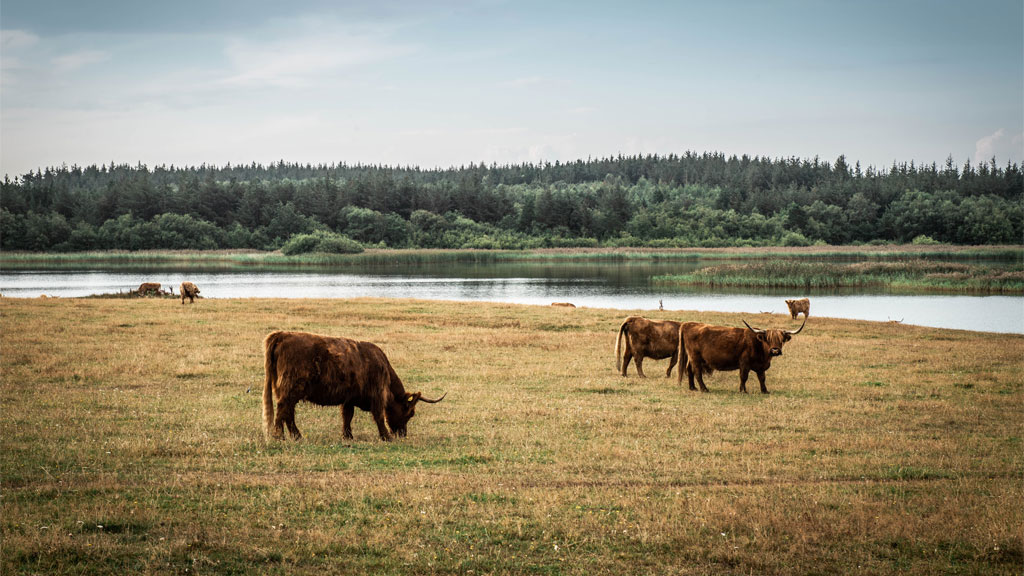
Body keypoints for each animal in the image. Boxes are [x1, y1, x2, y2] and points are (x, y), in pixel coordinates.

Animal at [261, 331, 446, 442]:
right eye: (410, 413)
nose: (402, 434)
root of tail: (283, 335)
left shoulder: (349, 398)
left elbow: (347, 416)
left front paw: (347, 436)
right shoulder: (377, 395)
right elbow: (379, 416)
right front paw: (386, 436)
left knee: (288, 412)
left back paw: (296, 436)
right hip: (291, 387)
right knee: (283, 408)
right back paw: (279, 436)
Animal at [677, 316, 806, 394]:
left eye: (781, 340)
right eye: (768, 339)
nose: (775, 351)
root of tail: (688, 324)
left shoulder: (761, 366)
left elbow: (762, 378)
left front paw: (765, 391)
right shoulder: (744, 362)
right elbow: (744, 377)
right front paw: (743, 390)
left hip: (691, 357)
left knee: (689, 370)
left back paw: (693, 388)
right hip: (695, 357)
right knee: (697, 372)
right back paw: (704, 389)